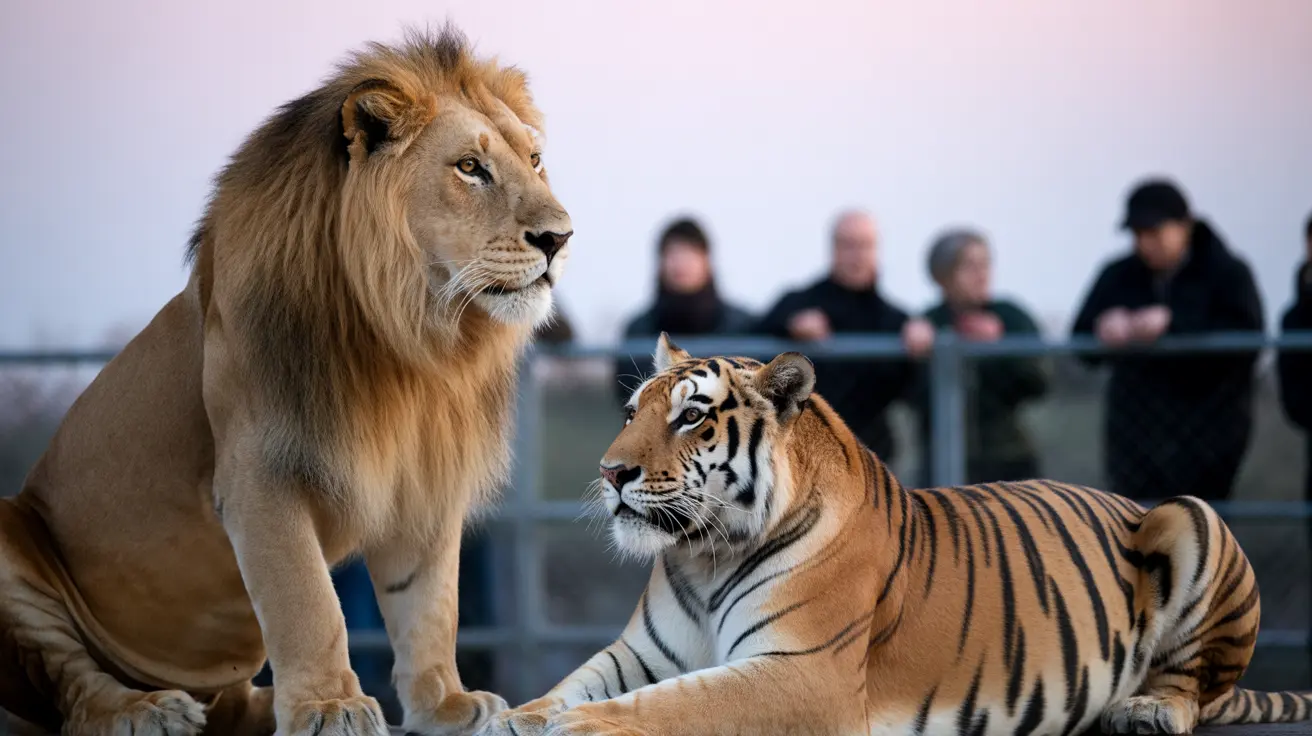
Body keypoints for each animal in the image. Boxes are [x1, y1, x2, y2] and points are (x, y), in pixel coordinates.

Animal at [0, 25, 571, 736]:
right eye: (470, 167)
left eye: (536, 160)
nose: (560, 238)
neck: (411, 341)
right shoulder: (261, 473)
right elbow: (308, 603)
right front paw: (329, 706)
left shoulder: (426, 480)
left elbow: (430, 606)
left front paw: (445, 705)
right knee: (73, 687)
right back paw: (147, 709)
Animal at [480, 333, 1312, 736]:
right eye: (632, 413)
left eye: (689, 416)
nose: (611, 471)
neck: (705, 553)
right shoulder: (638, 655)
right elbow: (572, 684)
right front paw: (516, 717)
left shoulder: (802, 672)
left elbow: (674, 707)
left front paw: (571, 727)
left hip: (1188, 514)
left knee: (1198, 687)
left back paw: (1144, 710)